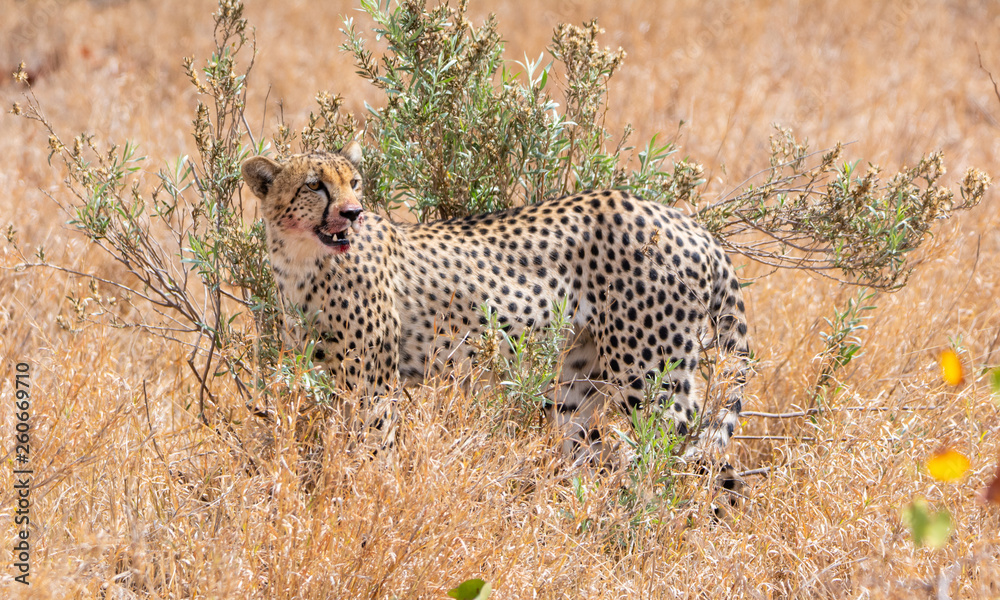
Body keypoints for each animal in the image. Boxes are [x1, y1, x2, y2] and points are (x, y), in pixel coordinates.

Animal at [241, 142, 751, 471]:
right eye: (314, 186)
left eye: (354, 182)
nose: (353, 213)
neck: (302, 262)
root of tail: (681, 218)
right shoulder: (326, 376)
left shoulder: (372, 384)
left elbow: (372, 450)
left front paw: (366, 505)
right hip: (577, 383)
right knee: (587, 448)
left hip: (650, 376)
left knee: (685, 451)